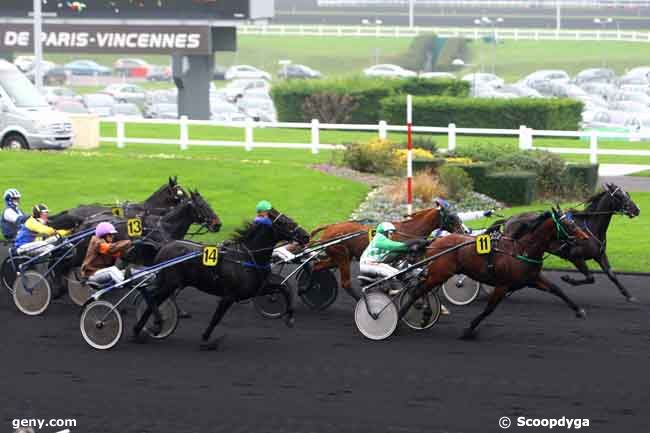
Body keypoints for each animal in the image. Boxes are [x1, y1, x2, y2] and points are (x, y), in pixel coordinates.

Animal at [308, 205, 460, 298]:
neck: (409, 230)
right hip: (342, 256)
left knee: (316, 266)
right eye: (452, 217)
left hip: (338, 257)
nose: (462, 231)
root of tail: (330, 228)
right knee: (345, 283)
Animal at [400, 208, 588, 340]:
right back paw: (404, 314)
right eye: (570, 225)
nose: (585, 238)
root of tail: (435, 241)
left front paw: (579, 310)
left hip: (438, 273)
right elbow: (489, 308)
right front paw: (469, 330)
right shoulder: (503, 285)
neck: (521, 250)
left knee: (420, 287)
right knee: (418, 290)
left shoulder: (532, 279)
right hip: (439, 273)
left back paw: (424, 314)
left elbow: (557, 289)